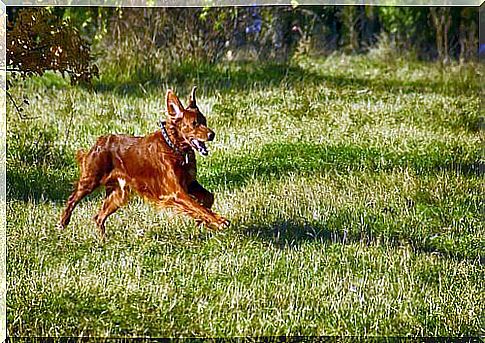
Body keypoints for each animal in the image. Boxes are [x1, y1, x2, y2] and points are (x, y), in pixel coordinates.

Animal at [58, 87, 229, 241]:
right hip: (90, 180)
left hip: (118, 194)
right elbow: (197, 206)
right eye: (194, 124)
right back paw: (63, 223)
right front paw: (219, 221)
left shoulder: (190, 183)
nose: (212, 135)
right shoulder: (177, 191)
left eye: (204, 121)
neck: (175, 148)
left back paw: (103, 240)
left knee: (99, 217)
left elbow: (208, 198)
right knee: (72, 199)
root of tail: (100, 141)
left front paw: (203, 221)